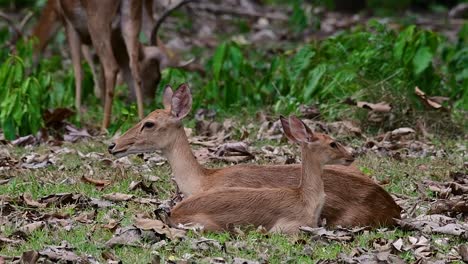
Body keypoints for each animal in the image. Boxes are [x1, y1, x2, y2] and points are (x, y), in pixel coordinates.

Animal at [31, 0, 195, 129]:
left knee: (111, 67)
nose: (150, 99)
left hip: (98, 20)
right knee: (133, 67)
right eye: (156, 77)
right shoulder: (113, 34)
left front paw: (77, 115)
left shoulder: (69, 23)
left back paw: (104, 125)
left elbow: (79, 71)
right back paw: (140, 117)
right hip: (130, 18)